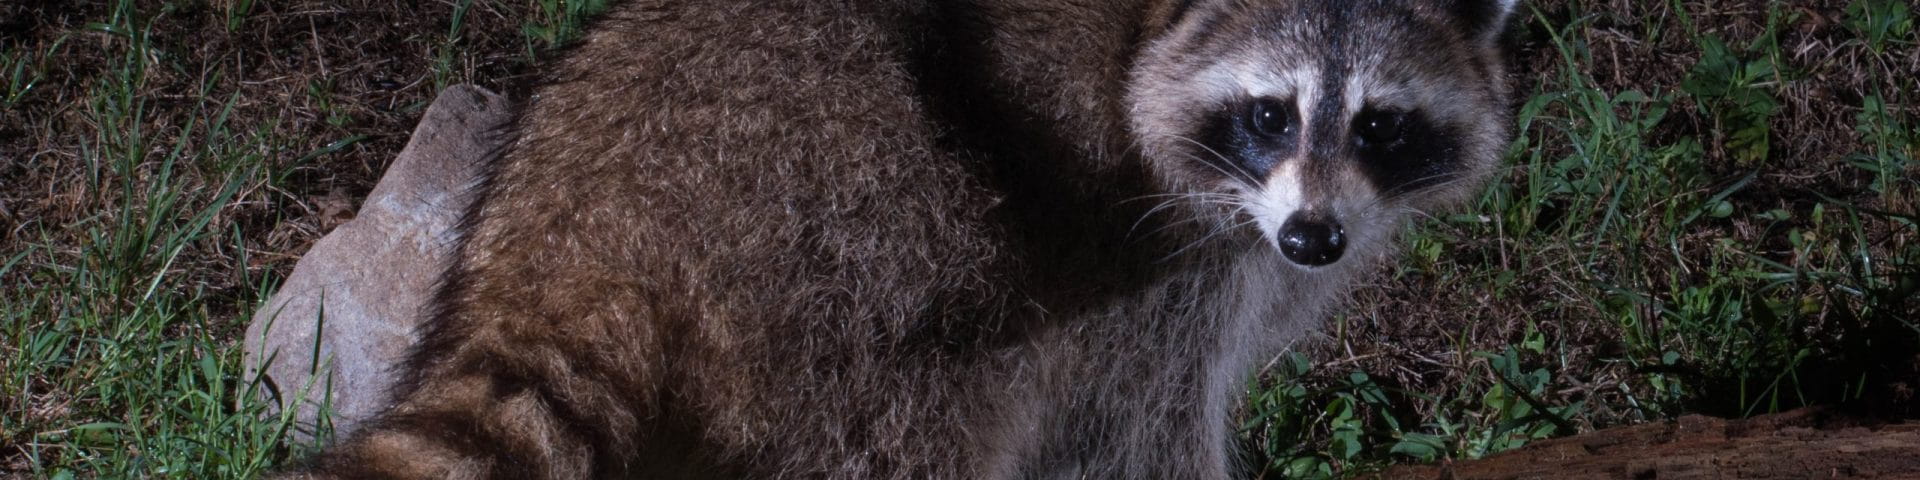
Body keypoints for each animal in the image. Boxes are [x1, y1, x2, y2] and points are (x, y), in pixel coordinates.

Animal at [282, 0, 1516, 478]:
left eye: (1381, 124)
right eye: (1270, 114)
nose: (1314, 238)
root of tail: (592, 222)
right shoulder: (1152, 257)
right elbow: (1132, 438)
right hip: (860, 262)